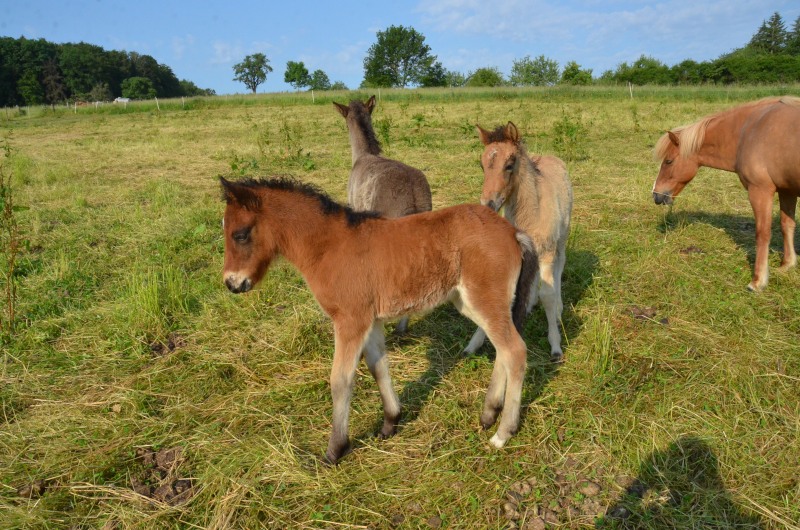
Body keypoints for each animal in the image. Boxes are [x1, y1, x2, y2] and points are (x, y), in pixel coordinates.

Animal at [220, 177, 539, 464]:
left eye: (240, 234)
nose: (232, 283)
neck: (329, 247)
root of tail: (514, 232)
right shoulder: (370, 321)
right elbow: (378, 366)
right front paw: (390, 423)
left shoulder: (350, 321)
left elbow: (341, 380)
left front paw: (335, 450)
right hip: (472, 302)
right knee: (502, 349)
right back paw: (488, 413)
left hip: (485, 299)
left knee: (515, 351)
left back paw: (503, 433)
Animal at [465, 122, 573, 361]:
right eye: (482, 165)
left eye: (509, 165)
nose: (488, 203)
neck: (531, 214)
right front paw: (473, 343)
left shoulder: (547, 251)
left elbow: (548, 295)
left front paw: (555, 346)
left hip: (561, 237)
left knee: (560, 265)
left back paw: (559, 308)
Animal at [652, 96, 800, 291]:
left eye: (668, 161)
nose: (656, 195)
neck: (750, 131)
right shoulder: (787, 191)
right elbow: (787, 225)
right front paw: (787, 265)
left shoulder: (760, 191)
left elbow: (762, 234)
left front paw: (757, 281)